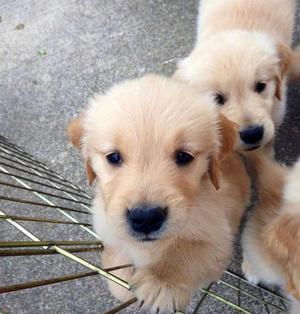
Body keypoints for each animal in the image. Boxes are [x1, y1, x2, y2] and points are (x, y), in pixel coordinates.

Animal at [68, 75, 251, 312]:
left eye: (184, 156)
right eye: (113, 157)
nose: (146, 218)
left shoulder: (219, 239)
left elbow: (191, 251)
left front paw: (161, 281)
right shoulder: (107, 226)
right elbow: (117, 258)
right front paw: (123, 280)